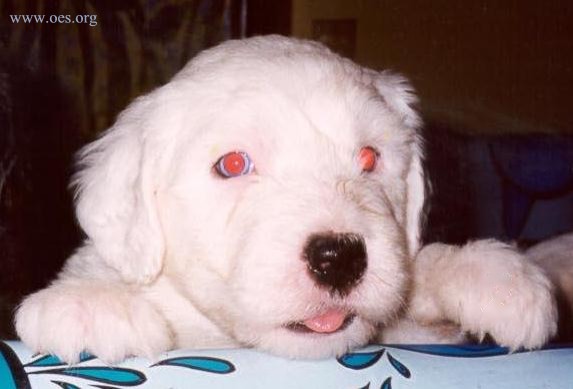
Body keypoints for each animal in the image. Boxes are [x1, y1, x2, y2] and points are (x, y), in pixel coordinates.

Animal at [13, 34, 556, 362]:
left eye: (368, 158)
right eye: (233, 164)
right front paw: (90, 303)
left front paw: (495, 278)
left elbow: (418, 269)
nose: (340, 258)